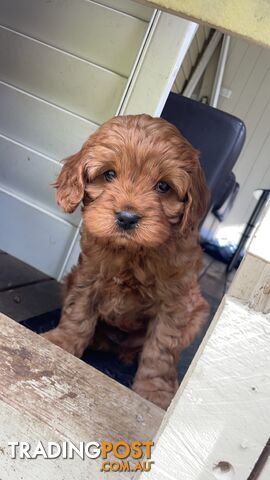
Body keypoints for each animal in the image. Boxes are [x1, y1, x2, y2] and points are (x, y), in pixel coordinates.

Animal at [43, 113, 209, 408]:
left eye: (163, 186)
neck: (132, 252)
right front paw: (62, 342)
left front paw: (154, 392)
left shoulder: (176, 301)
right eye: (109, 174)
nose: (127, 217)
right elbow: (78, 313)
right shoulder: (89, 276)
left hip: (197, 311)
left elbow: (161, 349)